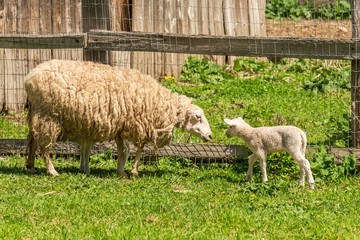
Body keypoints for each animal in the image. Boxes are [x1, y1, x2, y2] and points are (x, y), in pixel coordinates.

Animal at [26, 59, 212, 176]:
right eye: (198, 117)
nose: (210, 136)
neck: (160, 102)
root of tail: (30, 77)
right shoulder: (133, 124)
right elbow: (133, 149)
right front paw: (128, 171)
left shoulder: (123, 126)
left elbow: (129, 149)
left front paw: (125, 170)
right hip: (48, 116)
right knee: (44, 145)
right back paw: (52, 171)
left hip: (36, 113)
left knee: (32, 140)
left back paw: (31, 166)